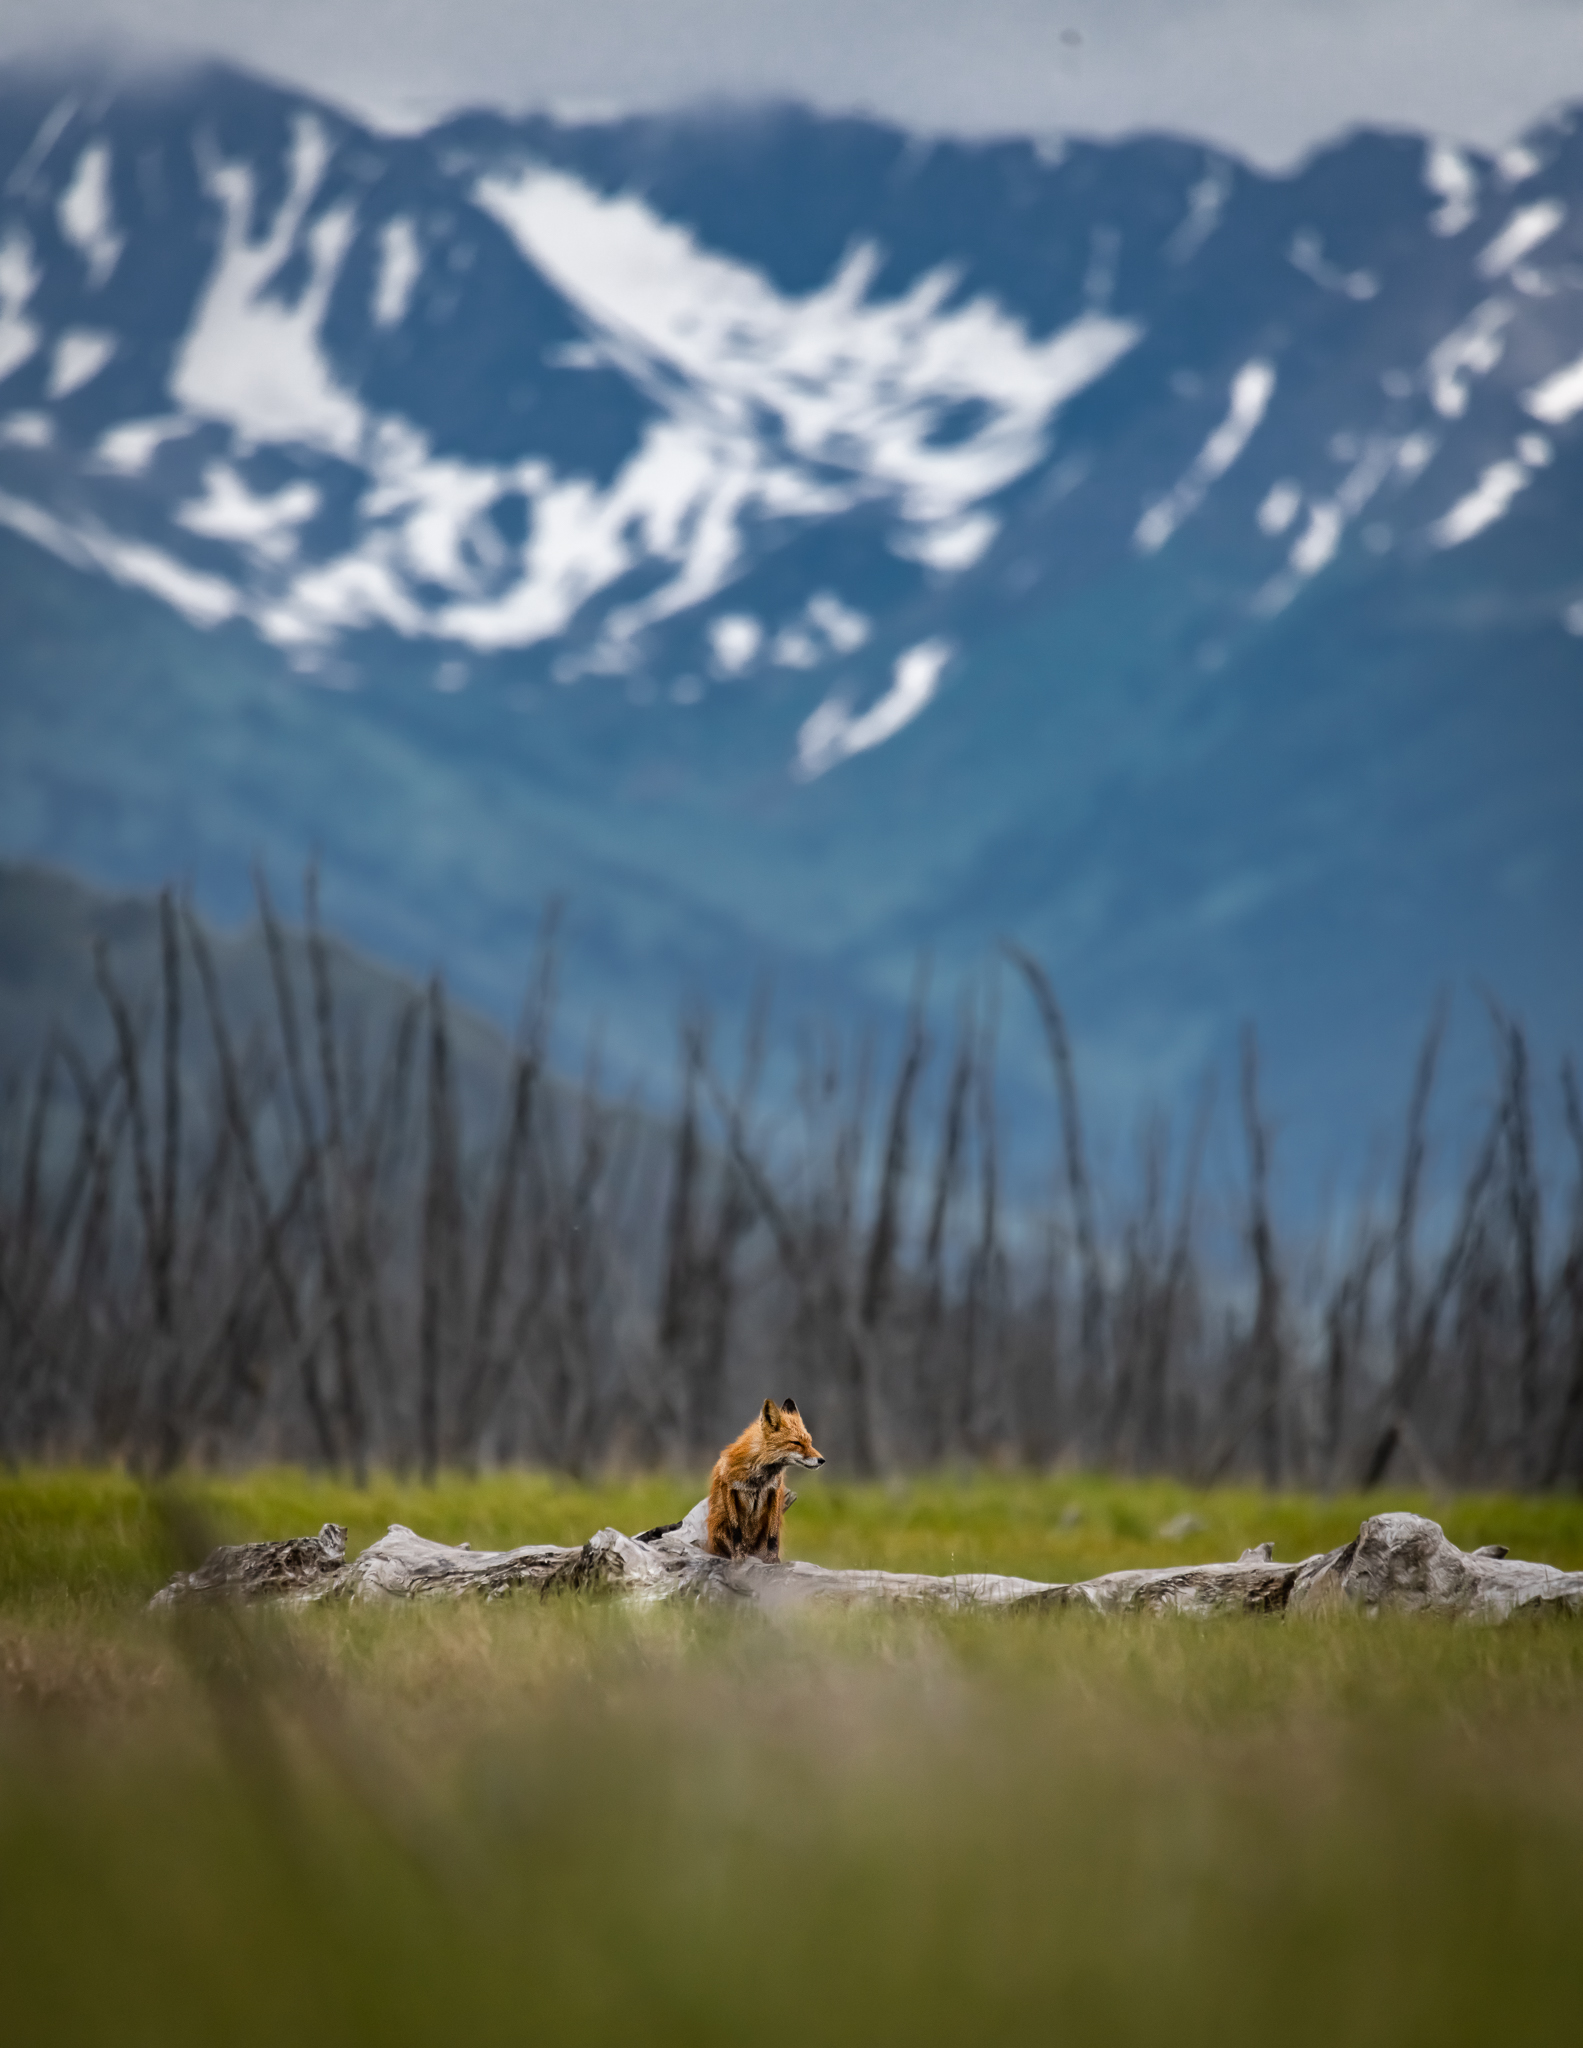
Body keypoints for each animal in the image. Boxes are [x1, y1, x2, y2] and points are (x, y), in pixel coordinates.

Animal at [705, 1397, 826, 1561]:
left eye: (809, 1442)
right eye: (796, 1443)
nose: (822, 1460)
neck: (758, 1477)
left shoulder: (774, 1490)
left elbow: (773, 1533)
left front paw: (773, 1559)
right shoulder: (727, 1486)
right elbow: (736, 1530)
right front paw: (738, 1556)